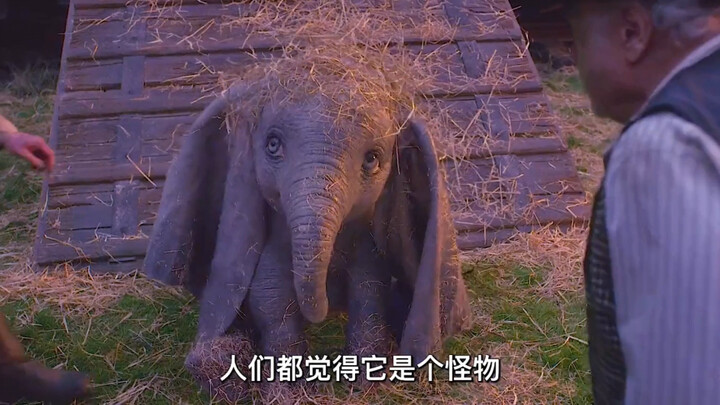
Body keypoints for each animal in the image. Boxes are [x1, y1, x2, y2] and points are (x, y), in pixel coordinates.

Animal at [142, 78, 473, 389]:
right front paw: (289, 390)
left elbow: (368, 288)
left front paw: (365, 384)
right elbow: (271, 294)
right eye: (272, 145)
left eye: (372, 159)